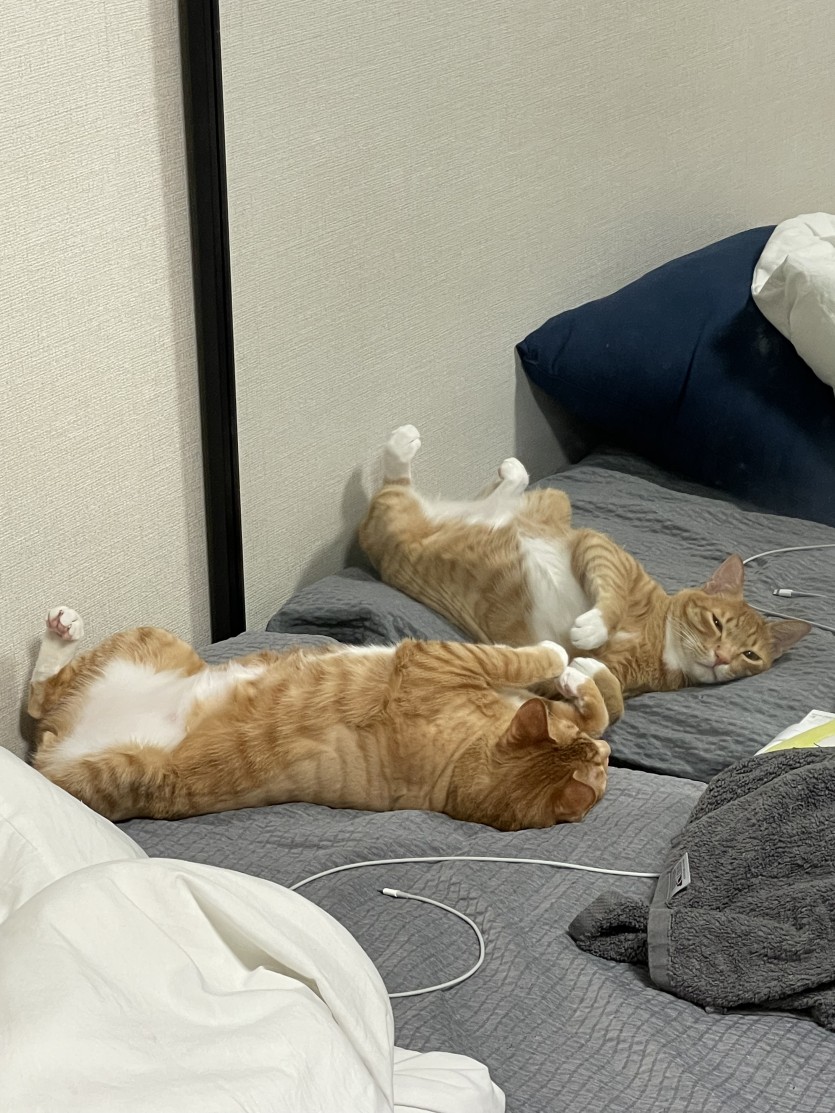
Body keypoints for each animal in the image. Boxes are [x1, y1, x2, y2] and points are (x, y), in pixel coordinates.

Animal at [28, 606, 619, 830]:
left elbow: (575, 696)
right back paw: (61, 631)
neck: (459, 774)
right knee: (41, 695)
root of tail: (58, 743)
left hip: (105, 770)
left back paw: (60, 633)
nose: (610, 757)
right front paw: (573, 664)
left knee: (41, 698)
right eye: (605, 766)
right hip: (153, 643)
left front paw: (575, 671)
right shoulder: (449, 660)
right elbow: (554, 679)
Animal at [358, 426, 811, 698]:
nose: (721, 657)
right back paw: (405, 444)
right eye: (717, 623)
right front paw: (594, 626)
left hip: (544, 500)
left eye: (749, 655)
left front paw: (585, 671)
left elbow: (597, 678)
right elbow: (609, 595)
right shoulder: (601, 549)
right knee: (396, 479)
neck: (655, 637)